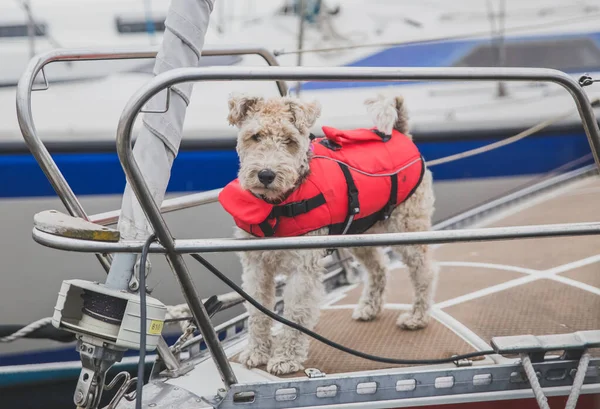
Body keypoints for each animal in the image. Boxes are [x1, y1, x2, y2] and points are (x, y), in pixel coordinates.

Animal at [220, 94, 436, 374]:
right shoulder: (256, 266)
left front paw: (285, 358)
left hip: (408, 230)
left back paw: (417, 318)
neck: (279, 204)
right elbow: (258, 312)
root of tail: (401, 131)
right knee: (379, 268)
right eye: (255, 136)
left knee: (425, 272)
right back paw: (369, 308)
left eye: (289, 139)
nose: (266, 175)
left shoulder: (303, 268)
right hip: (361, 234)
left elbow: (295, 313)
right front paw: (256, 353)